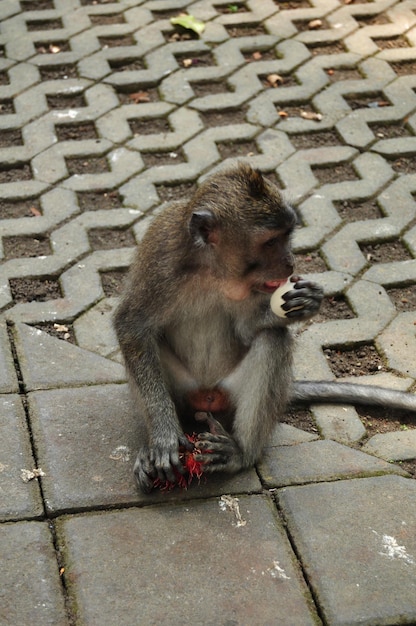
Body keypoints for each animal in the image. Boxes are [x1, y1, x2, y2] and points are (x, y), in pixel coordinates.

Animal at [114, 162, 416, 492]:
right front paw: (164, 435)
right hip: (183, 389)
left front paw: (306, 302)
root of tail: (207, 397)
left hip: (230, 392)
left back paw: (240, 453)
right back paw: (151, 452)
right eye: (271, 241)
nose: (289, 262)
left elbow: (248, 328)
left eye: (287, 236)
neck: (213, 270)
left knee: (273, 340)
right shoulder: (160, 258)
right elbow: (132, 326)